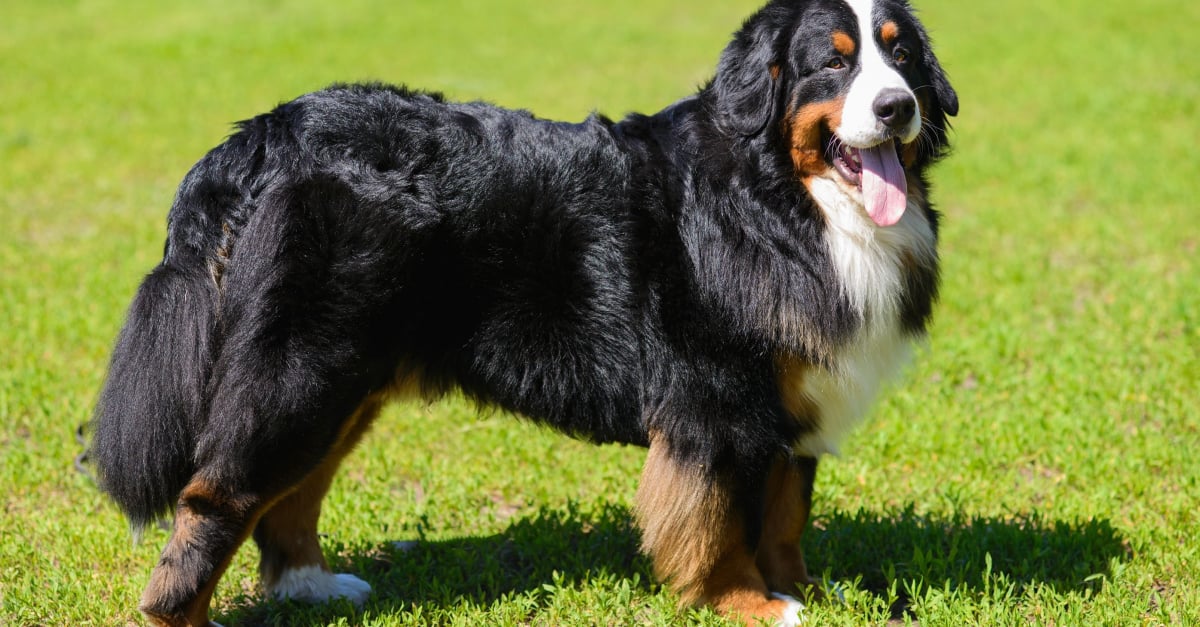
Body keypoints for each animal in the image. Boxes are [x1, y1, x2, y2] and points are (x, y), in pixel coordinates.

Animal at [91, 1, 955, 619]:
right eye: (832, 65)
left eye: (902, 56)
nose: (896, 107)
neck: (783, 200)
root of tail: (265, 133)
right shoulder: (717, 401)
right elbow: (720, 522)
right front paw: (751, 602)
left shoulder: (792, 392)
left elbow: (783, 514)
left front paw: (802, 589)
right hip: (300, 367)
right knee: (220, 495)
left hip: (347, 370)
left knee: (292, 491)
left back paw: (311, 583)